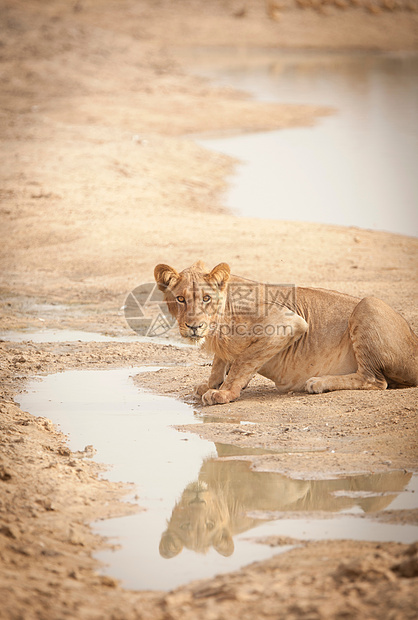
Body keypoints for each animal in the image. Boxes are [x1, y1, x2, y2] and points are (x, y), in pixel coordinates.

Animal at [155, 260, 418, 404]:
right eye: (180, 299)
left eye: (206, 298)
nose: (194, 326)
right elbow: (220, 362)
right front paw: (212, 384)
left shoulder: (288, 322)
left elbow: (243, 360)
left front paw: (225, 392)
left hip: (368, 304)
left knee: (374, 379)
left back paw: (319, 382)